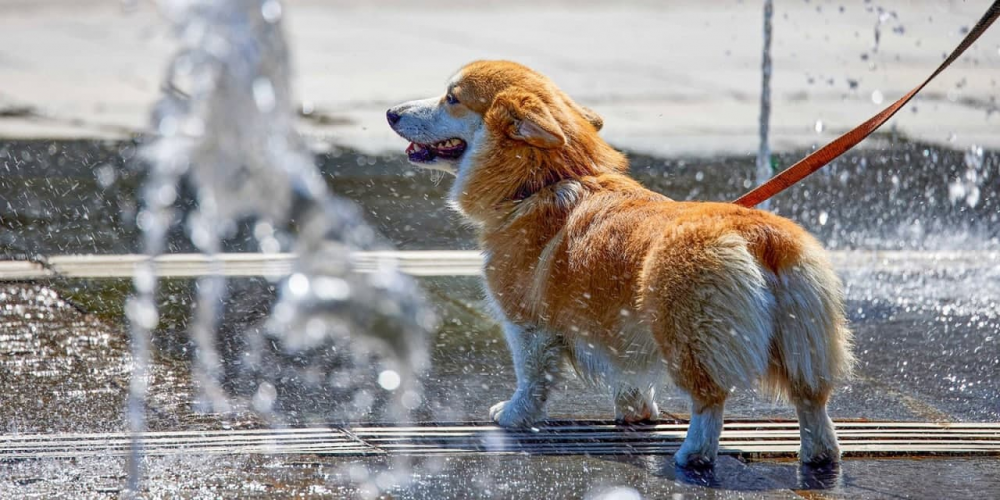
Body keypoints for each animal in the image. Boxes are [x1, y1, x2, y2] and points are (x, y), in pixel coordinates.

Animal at [384, 60, 852, 466]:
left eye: (452, 98)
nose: (390, 112)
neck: (544, 179)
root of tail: (759, 237)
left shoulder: (526, 321)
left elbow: (531, 376)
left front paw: (514, 416)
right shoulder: (617, 326)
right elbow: (630, 376)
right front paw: (636, 412)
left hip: (690, 336)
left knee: (710, 401)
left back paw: (692, 456)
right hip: (806, 339)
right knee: (812, 402)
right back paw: (820, 455)